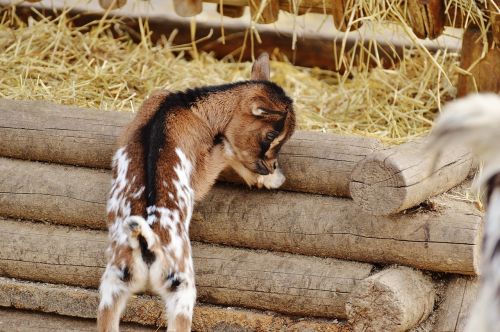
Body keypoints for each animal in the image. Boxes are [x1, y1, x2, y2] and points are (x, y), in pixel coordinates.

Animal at [95, 53, 294, 330]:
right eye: (270, 135)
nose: (271, 167)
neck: (184, 106)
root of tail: (145, 241)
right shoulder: (201, 172)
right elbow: (226, 151)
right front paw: (270, 180)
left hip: (112, 286)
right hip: (182, 286)